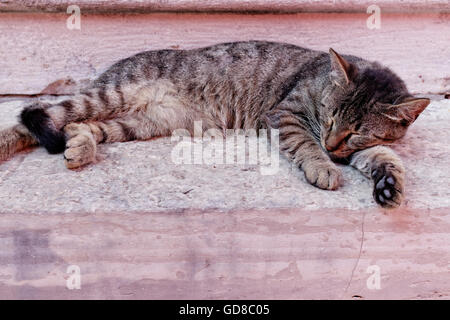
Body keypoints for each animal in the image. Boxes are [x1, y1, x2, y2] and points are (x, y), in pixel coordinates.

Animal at [0, 40, 428, 208]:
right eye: (330, 115)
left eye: (356, 130)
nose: (334, 143)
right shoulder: (286, 115)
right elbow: (307, 144)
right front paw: (322, 167)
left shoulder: (356, 146)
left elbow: (383, 154)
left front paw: (389, 182)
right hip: (112, 95)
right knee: (35, 115)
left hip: (143, 122)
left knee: (82, 125)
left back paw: (80, 144)